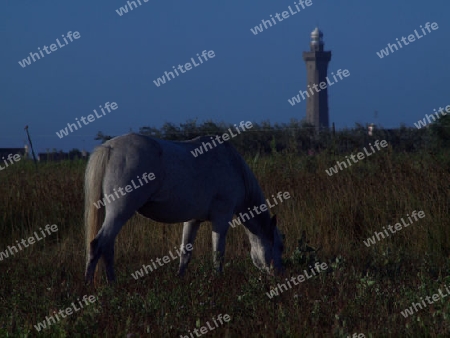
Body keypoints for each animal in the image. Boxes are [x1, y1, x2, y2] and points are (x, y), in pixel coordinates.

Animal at [83, 132, 284, 282]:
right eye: (280, 246)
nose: (279, 274)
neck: (231, 164)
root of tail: (109, 148)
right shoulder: (222, 217)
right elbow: (218, 253)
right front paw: (218, 279)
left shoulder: (193, 220)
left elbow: (185, 253)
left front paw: (179, 279)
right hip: (120, 212)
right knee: (97, 245)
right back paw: (89, 286)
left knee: (107, 247)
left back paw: (112, 283)